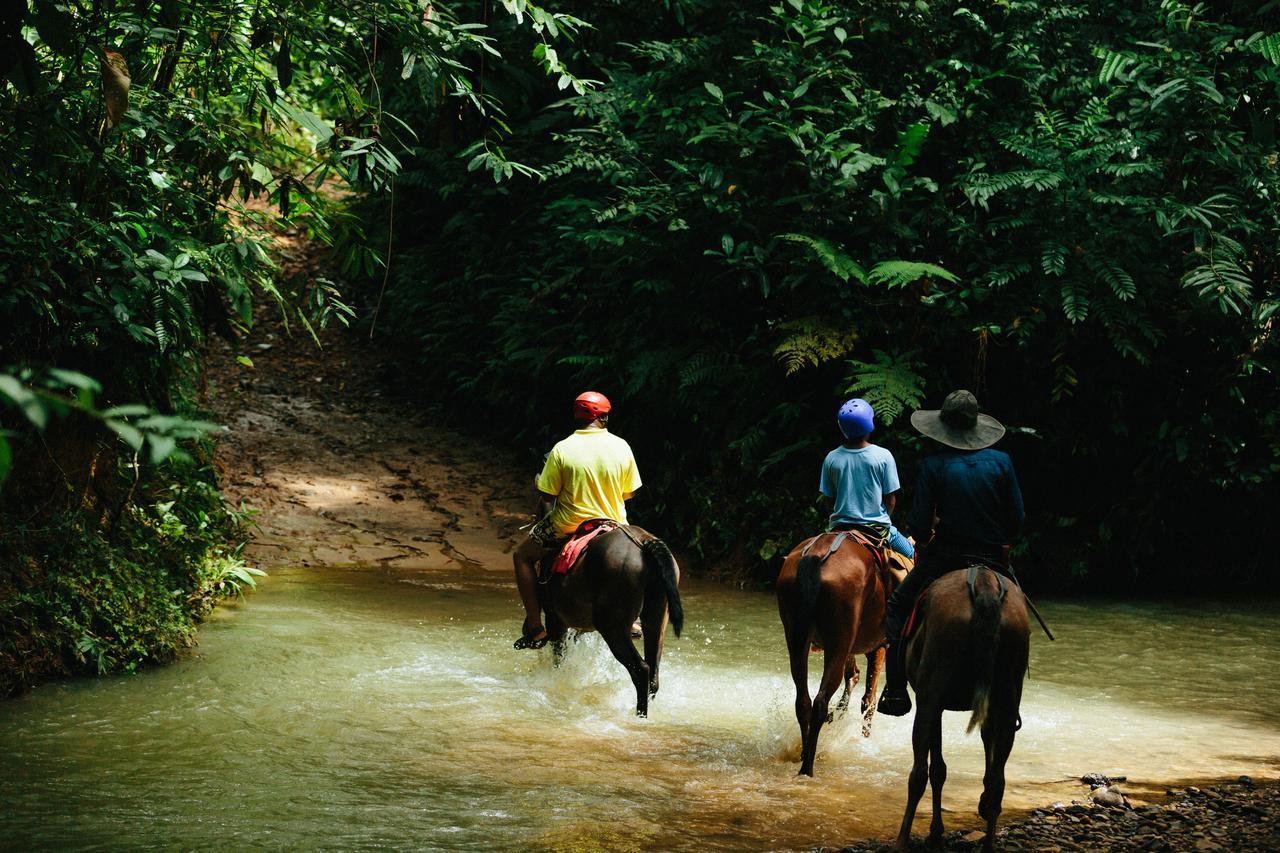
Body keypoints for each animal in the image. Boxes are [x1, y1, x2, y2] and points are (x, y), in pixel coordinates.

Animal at [537, 522, 680, 712]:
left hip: (612, 627)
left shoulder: (555, 621)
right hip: (656, 620)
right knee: (653, 674)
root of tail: (644, 542)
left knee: (641, 670)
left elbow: (559, 657)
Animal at [778, 527, 890, 773]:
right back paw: (808, 767)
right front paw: (864, 739)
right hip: (839, 640)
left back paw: (804, 754)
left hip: (797, 639)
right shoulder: (878, 645)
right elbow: (869, 699)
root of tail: (817, 555)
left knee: (803, 702)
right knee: (820, 701)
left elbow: (854, 677)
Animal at [896, 563, 1034, 850]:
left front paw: (936, 832)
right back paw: (989, 843)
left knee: (918, 773)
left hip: (929, 696)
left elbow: (936, 769)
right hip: (1006, 695)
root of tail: (984, 583)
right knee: (997, 779)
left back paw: (902, 840)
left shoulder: (933, 703)